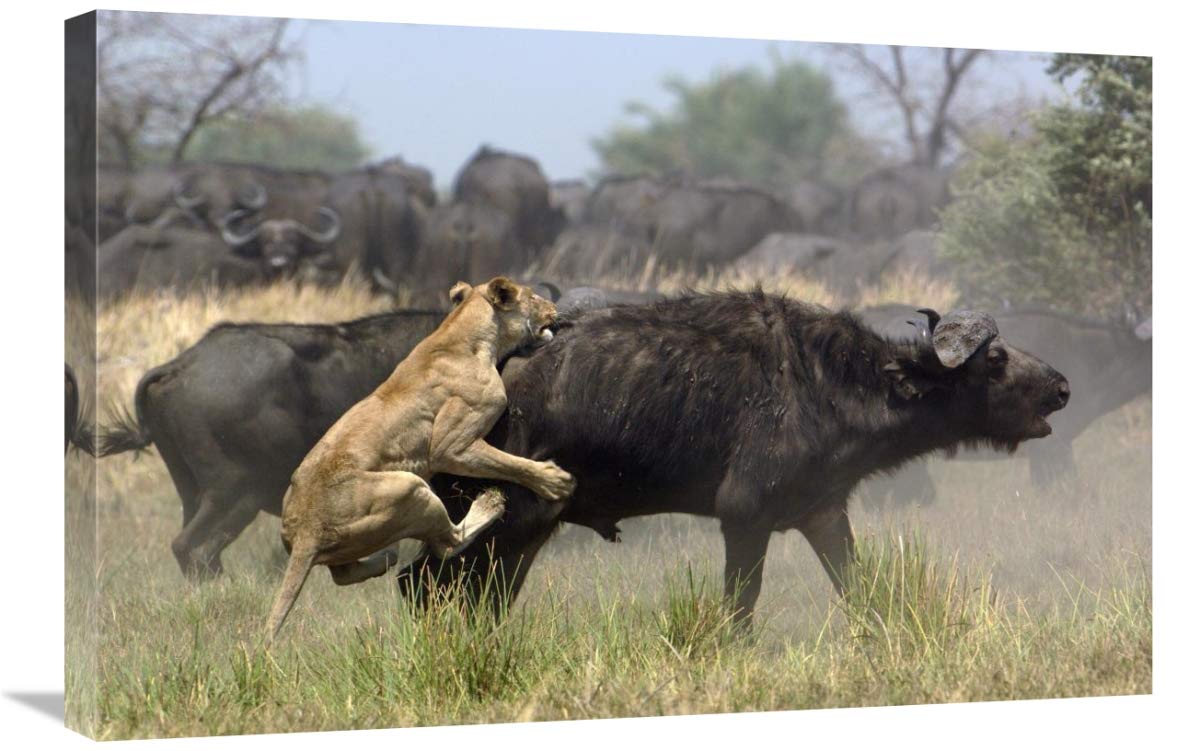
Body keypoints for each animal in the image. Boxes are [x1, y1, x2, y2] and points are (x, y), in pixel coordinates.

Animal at [265, 276, 576, 642]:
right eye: (533, 297)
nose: (555, 309)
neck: (464, 334)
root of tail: (305, 533)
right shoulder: (451, 445)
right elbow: (509, 462)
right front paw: (555, 481)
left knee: (342, 574)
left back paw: (384, 558)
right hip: (409, 488)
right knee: (448, 543)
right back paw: (488, 504)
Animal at [398, 291, 1070, 623]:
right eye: (996, 360)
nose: (1062, 386)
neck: (830, 382)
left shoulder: (823, 513)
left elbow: (861, 593)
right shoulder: (746, 518)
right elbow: (738, 612)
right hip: (512, 521)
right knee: (430, 588)